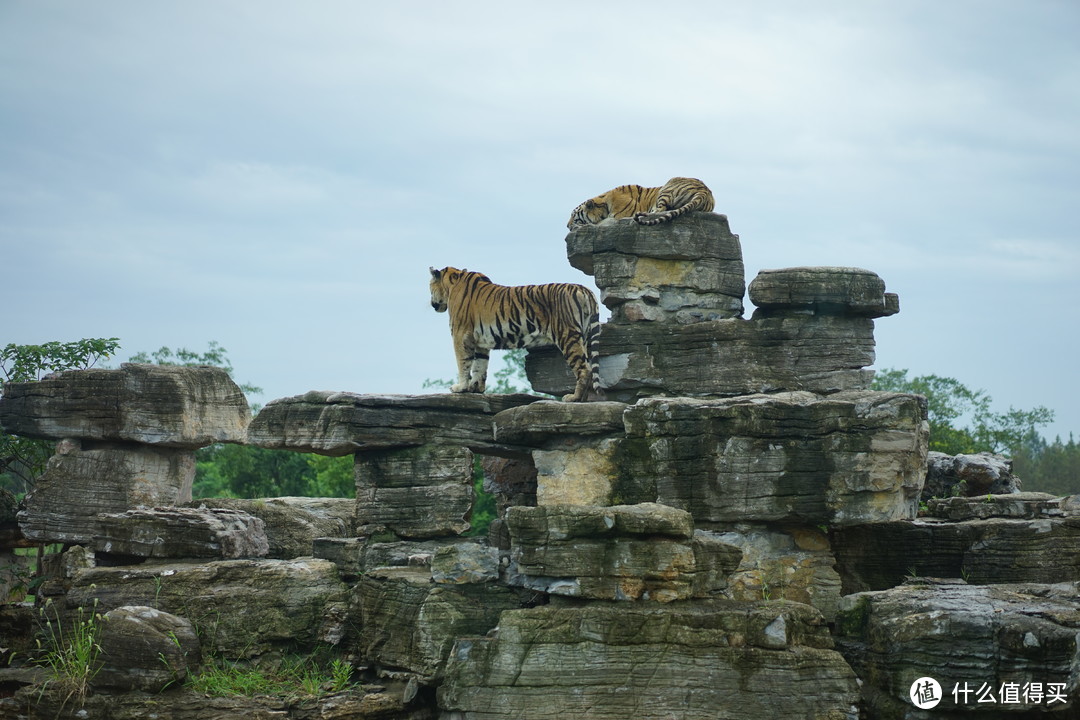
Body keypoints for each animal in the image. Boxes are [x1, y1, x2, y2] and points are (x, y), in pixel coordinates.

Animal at [427, 266, 600, 403]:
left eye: (429, 287)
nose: (432, 303)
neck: (452, 283)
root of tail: (583, 288)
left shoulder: (460, 336)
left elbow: (463, 363)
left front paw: (460, 387)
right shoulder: (481, 343)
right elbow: (479, 366)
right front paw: (475, 388)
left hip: (567, 335)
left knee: (584, 369)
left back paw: (574, 398)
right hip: (584, 336)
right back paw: (584, 399)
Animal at [565, 177, 717, 229]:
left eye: (573, 215)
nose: (567, 226)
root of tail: (705, 191)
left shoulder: (616, 216)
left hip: (667, 187)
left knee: (660, 210)